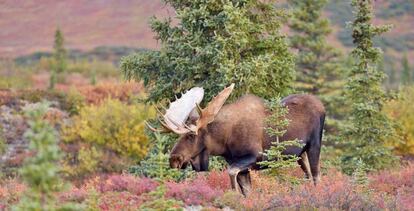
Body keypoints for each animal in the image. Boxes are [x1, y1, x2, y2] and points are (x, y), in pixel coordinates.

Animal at [147, 83, 326, 195]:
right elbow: (247, 190)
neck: (225, 141)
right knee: (308, 174)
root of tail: (322, 106)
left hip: (314, 144)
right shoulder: (241, 164)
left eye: (191, 135)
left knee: (317, 175)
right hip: (299, 153)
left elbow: (231, 173)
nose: (173, 159)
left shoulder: (255, 156)